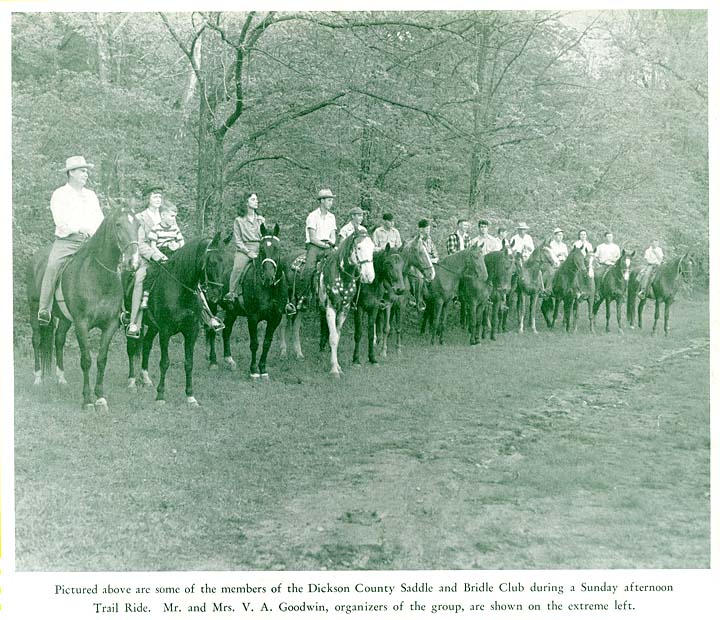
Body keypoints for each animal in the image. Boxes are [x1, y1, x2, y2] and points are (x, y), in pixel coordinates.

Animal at [26, 206, 141, 412]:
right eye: (118, 225)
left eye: (138, 225)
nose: (133, 263)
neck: (99, 277)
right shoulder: (82, 324)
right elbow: (86, 360)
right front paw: (87, 399)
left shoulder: (110, 325)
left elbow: (102, 360)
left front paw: (100, 398)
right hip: (34, 311)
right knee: (37, 339)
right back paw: (38, 378)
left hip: (65, 319)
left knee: (59, 340)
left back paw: (61, 379)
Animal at [127, 234, 225, 406]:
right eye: (211, 262)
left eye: (225, 262)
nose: (215, 294)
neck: (180, 289)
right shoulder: (165, 332)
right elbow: (164, 362)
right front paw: (160, 396)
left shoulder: (192, 331)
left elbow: (189, 363)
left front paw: (190, 396)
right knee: (131, 348)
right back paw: (132, 382)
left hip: (153, 327)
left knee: (146, 344)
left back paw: (145, 379)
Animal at [205, 223, 286, 378]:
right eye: (261, 249)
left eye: (277, 248)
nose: (269, 277)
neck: (267, 289)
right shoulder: (253, 318)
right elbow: (254, 344)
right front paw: (254, 371)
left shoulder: (275, 318)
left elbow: (266, 343)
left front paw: (263, 370)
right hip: (212, 304)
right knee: (212, 331)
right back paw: (213, 362)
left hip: (232, 311)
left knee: (227, 331)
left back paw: (229, 360)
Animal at [320, 231, 376, 376]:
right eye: (359, 248)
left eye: (373, 248)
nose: (369, 276)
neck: (342, 277)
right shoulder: (331, 309)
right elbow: (333, 337)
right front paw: (334, 370)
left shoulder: (344, 309)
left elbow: (337, 336)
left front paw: (337, 366)